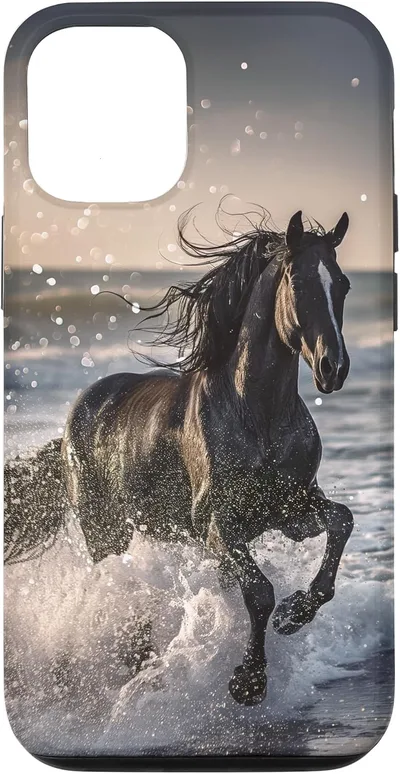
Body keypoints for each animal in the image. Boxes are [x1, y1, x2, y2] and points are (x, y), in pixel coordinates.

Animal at [4, 207, 354, 706]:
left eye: (342, 284)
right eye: (299, 282)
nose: (334, 369)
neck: (257, 414)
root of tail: (73, 421)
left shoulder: (292, 510)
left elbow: (341, 521)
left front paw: (294, 614)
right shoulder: (217, 524)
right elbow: (259, 591)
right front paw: (248, 681)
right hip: (103, 531)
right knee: (118, 588)